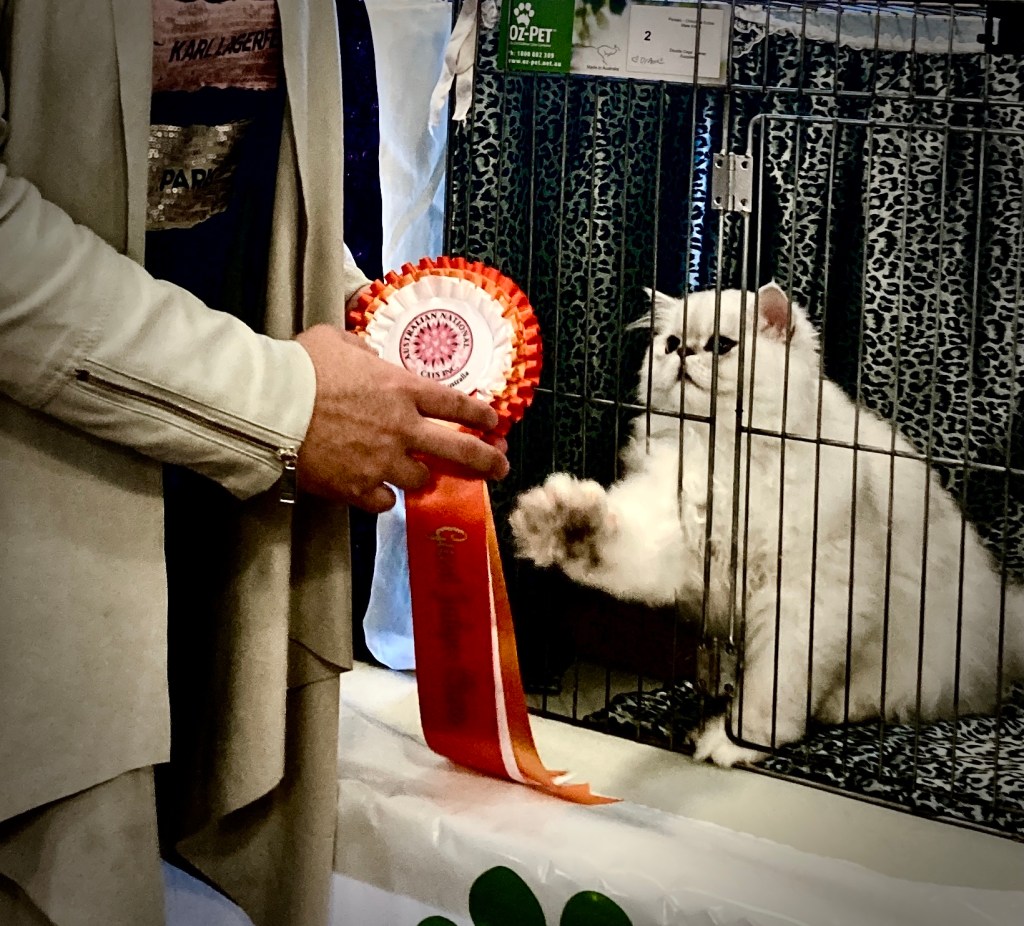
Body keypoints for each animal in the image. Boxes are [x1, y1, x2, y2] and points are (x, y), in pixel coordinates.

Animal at [510, 282, 1024, 767]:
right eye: (671, 342)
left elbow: (774, 687)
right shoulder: (680, 537)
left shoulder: (806, 597)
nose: (684, 353)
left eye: (721, 345)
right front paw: (563, 523)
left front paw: (737, 742)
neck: (727, 453)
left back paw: (831, 706)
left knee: (896, 700)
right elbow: (614, 541)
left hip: (916, 659)